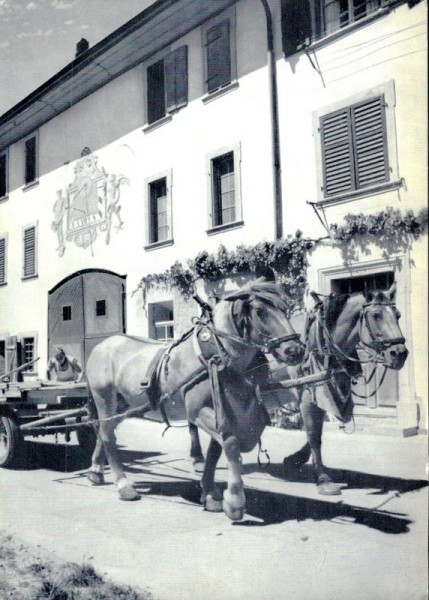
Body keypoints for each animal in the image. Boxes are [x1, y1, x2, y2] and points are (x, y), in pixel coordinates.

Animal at [85, 282, 302, 520]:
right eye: (260, 311)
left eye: (285, 308)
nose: (295, 350)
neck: (218, 353)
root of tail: (103, 345)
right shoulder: (198, 411)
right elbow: (231, 444)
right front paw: (234, 501)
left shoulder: (223, 411)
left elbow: (216, 452)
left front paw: (209, 494)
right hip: (104, 398)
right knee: (108, 436)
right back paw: (123, 484)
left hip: (125, 405)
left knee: (104, 431)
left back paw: (95, 470)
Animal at [280, 284, 408, 494]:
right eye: (376, 315)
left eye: (397, 315)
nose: (399, 353)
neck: (322, 342)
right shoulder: (309, 397)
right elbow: (314, 436)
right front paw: (322, 478)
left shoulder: (327, 393)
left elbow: (315, 432)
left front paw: (295, 460)